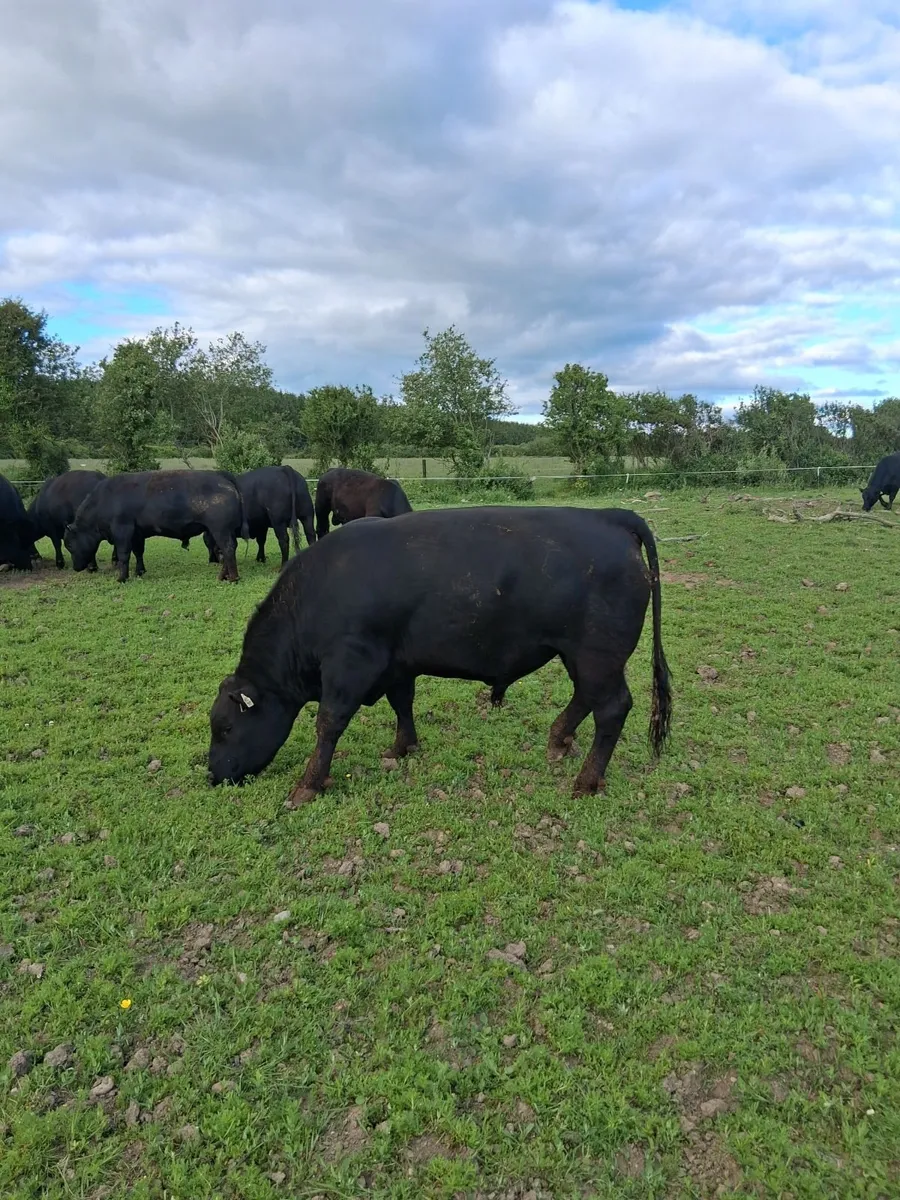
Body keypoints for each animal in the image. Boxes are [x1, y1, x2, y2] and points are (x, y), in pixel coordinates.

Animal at [64, 470, 247, 582]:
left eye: (70, 545)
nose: (75, 567)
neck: (104, 499)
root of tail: (221, 476)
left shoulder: (122, 530)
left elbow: (124, 554)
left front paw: (122, 578)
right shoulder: (137, 534)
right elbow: (138, 552)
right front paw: (139, 571)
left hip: (220, 530)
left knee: (228, 549)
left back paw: (232, 578)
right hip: (222, 531)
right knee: (227, 549)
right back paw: (223, 576)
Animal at [208, 506, 672, 809]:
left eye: (225, 727)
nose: (212, 775)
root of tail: (608, 516)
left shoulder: (349, 664)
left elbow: (329, 722)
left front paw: (308, 784)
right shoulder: (396, 664)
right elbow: (402, 703)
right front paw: (402, 747)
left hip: (596, 655)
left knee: (611, 708)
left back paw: (587, 780)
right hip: (583, 657)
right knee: (585, 699)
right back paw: (559, 739)